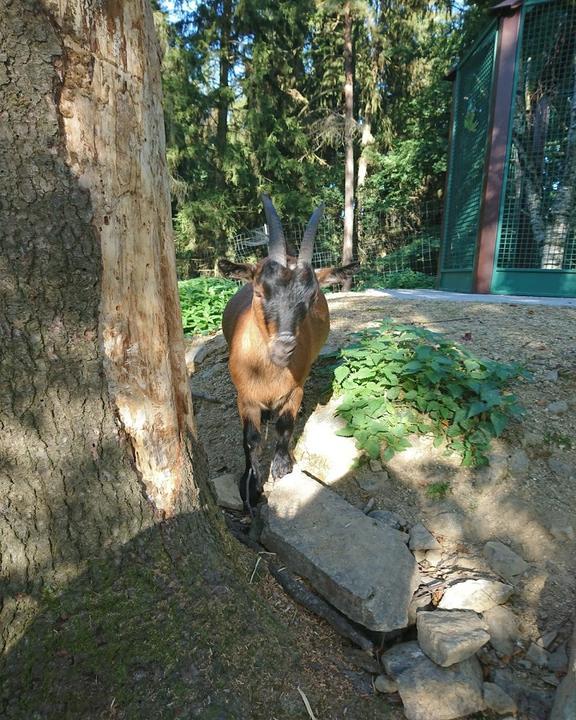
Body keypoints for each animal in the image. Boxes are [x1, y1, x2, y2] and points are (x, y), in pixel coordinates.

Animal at [218, 197, 358, 510]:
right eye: (259, 292)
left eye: (312, 297)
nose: (285, 347)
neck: (268, 373)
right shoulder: (245, 396)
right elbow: (251, 439)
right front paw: (251, 485)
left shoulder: (294, 390)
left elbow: (285, 424)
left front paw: (281, 466)